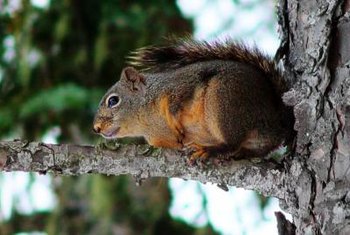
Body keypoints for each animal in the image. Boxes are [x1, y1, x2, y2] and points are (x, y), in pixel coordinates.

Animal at [93, 39, 296, 162]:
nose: (96, 128)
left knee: (231, 143)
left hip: (223, 102)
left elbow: (176, 105)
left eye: (113, 101)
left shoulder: (179, 87)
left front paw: (175, 123)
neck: (147, 121)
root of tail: (277, 120)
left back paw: (210, 150)